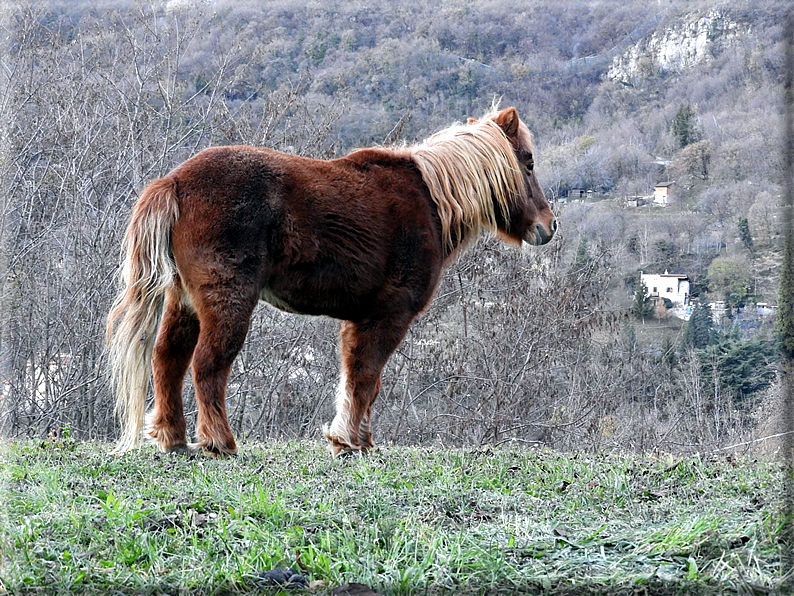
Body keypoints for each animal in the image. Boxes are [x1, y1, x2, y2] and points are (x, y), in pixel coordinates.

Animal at [106, 106, 556, 456]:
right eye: (528, 162)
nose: (549, 226)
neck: (430, 200)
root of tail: (175, 181)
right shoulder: (387, 316)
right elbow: (365, 376)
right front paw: (349, 442)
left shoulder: (361, 320)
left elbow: (362, 380)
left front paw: (358, 440)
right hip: (226, 302)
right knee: (207, 364)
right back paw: (220, 443)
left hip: (184, 301)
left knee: (167, 358)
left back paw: (174, 438)